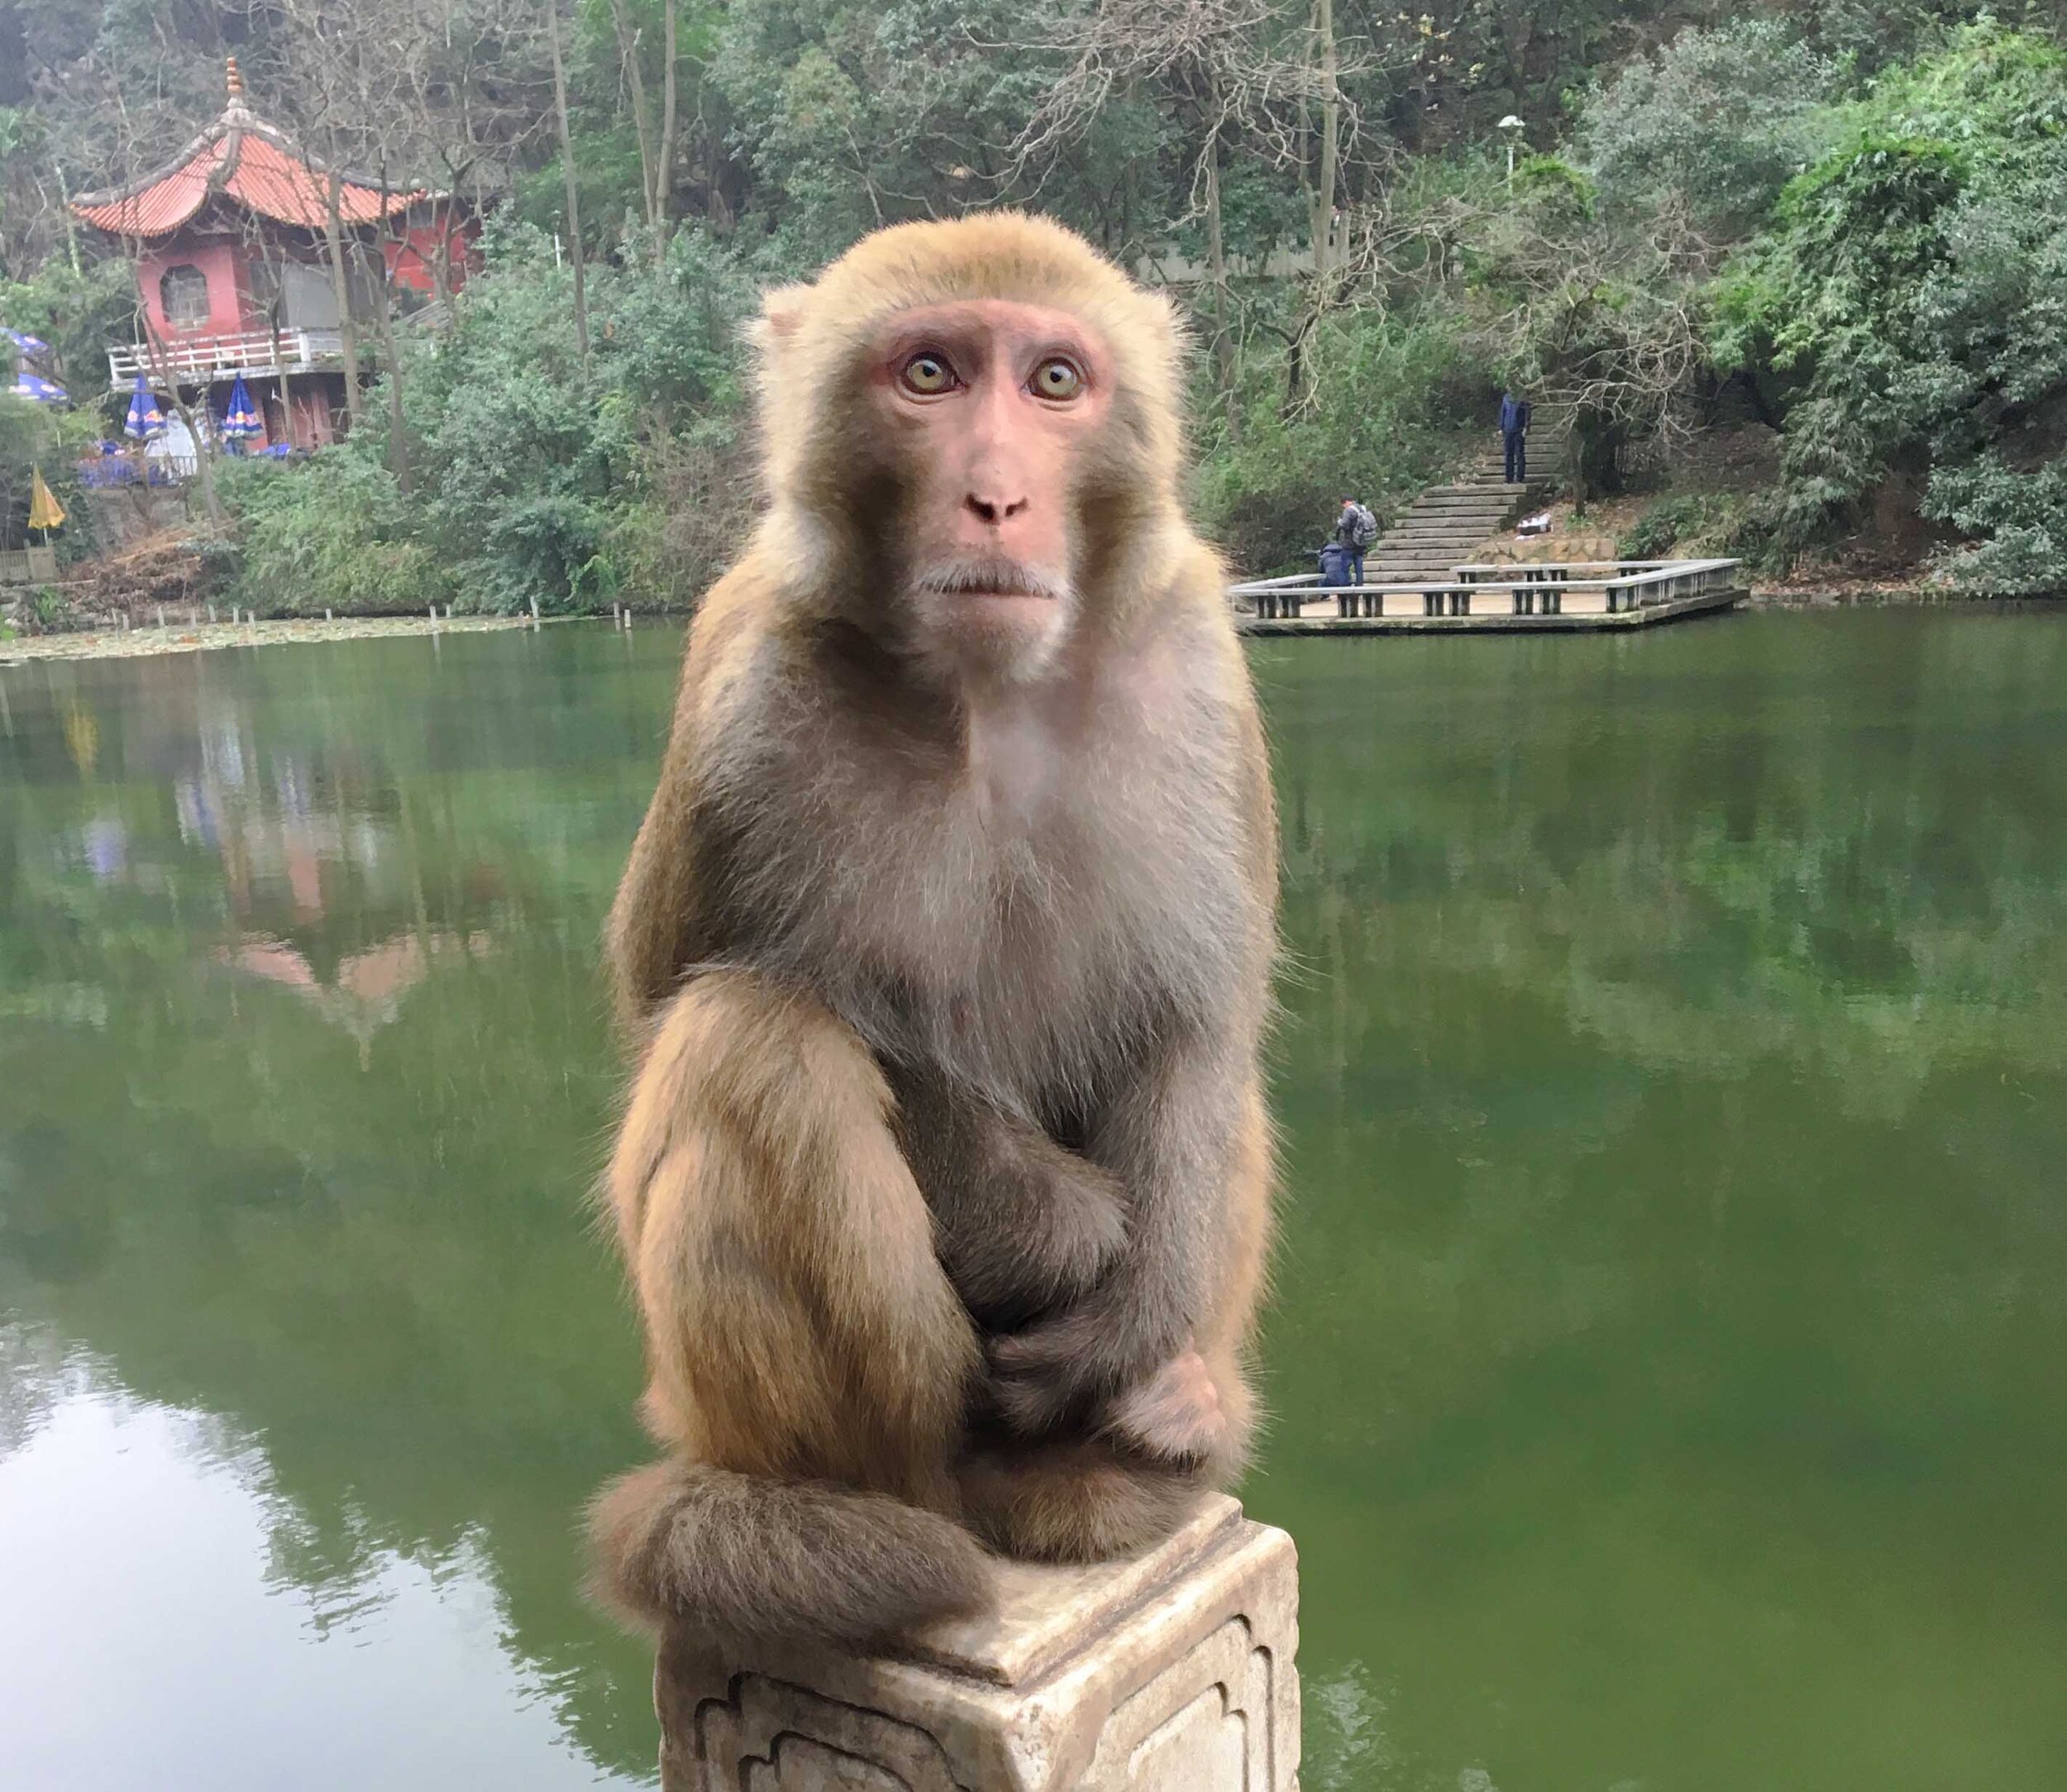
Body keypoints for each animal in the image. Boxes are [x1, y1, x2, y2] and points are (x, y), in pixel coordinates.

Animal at [583, 209, 1282, 1653]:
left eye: (1055, 380)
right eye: (929, 376)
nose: (997, 497)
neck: (988, 697)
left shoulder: (1199, 666)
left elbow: (1200, 1022)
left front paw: (1127, 1314)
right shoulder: (743, 685)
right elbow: (675, 987)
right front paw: (1058, 1228)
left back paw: (1165, 1425)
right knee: (747, 1038)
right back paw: (834, 1524)